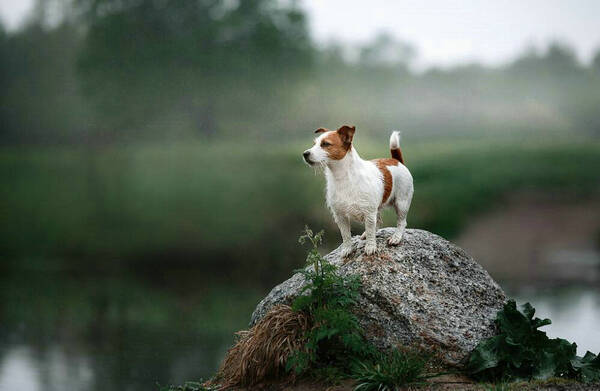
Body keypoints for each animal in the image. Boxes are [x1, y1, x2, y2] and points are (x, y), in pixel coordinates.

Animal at [304, 125, 412, 258]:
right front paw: (347, 249)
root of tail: (396, 161)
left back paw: (396, 237)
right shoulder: (340, 216)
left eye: (325, 144)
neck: (343, 177)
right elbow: (346, 235)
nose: (305, 154)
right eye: (314, 144)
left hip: (402, 203)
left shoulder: (369, 213)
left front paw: (370, 247)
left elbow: (371, 231)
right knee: (378, 221)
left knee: (401, 222)